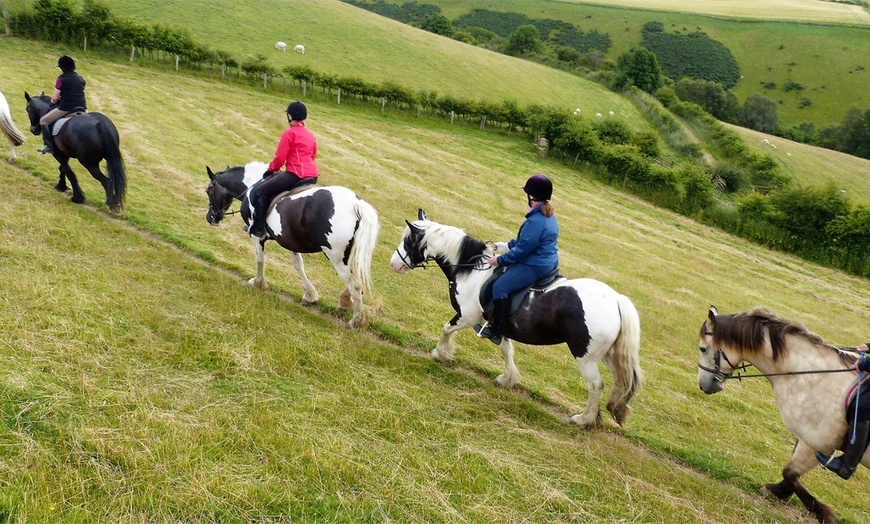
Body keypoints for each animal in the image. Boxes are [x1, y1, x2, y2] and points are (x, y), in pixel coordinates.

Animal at [208, 162, 382, 330]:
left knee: (355, 285)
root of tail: (356, 204)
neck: (254, 183)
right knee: (355, 278)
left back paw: (356, 321)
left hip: (336, 257)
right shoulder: (289, 240)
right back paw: (345, 303)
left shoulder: (257, 237)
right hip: (349, 255)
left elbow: (260, 259)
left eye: (209, 190)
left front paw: (258, 283)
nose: (211, 218)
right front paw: (309, 295)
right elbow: (299, 266)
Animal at [392, 207, 644, 428]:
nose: (394, 264)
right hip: (609, 354)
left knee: (596, 385)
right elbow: (507, 350)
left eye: (408, 242)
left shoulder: (467, 316)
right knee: (618, 383)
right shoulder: (497, 324)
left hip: (586, 356)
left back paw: (583, 420)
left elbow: (446, 328)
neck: (472, 270)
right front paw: (507, 379)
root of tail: (616, 300)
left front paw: (440, 354)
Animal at [700, 304, 864, 520]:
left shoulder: (816, 443)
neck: (811, 374)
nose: (702, 385)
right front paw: (778, 491)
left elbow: (790, 474)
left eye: (702, 348)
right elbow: (789, 474)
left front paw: (822, 512)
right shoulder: (806, 439)